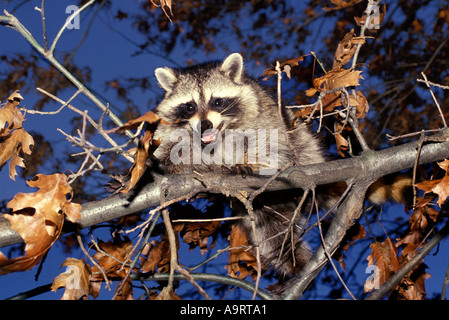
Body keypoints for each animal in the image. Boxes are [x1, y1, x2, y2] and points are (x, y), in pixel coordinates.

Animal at [152, 53, 412, 292]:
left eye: (217, 102)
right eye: (189, 106)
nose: (205, 125)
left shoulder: (264, 113)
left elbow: (273, 145)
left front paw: (251, 161)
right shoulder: (167, 132)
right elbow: (168, 155)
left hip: (304, 148)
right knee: (274, 237)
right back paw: (297, 264)